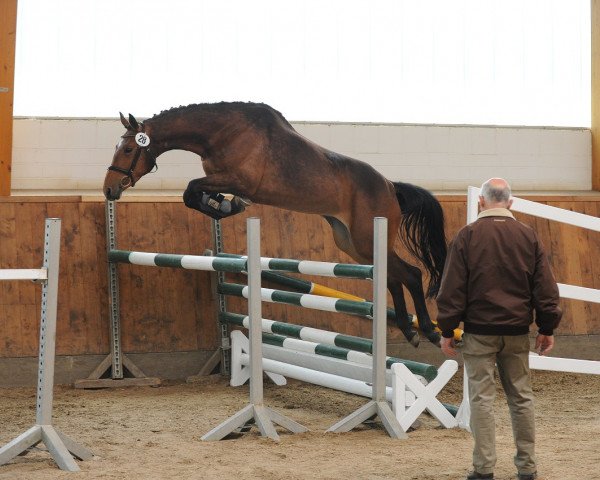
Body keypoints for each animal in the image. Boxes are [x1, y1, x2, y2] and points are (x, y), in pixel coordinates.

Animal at [104, 103, 446, 346]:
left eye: (129, 149)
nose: (109, 189)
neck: (224, 132)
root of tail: (390, 186)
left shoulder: (240, 180)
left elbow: (191, 189)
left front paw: (225, 204)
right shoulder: (221, 178)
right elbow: (194, 194)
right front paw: (221, 204)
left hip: (366, 237)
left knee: (411, 274)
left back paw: (427, 331)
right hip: (352, 243)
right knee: (393, 278)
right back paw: (409, 330)